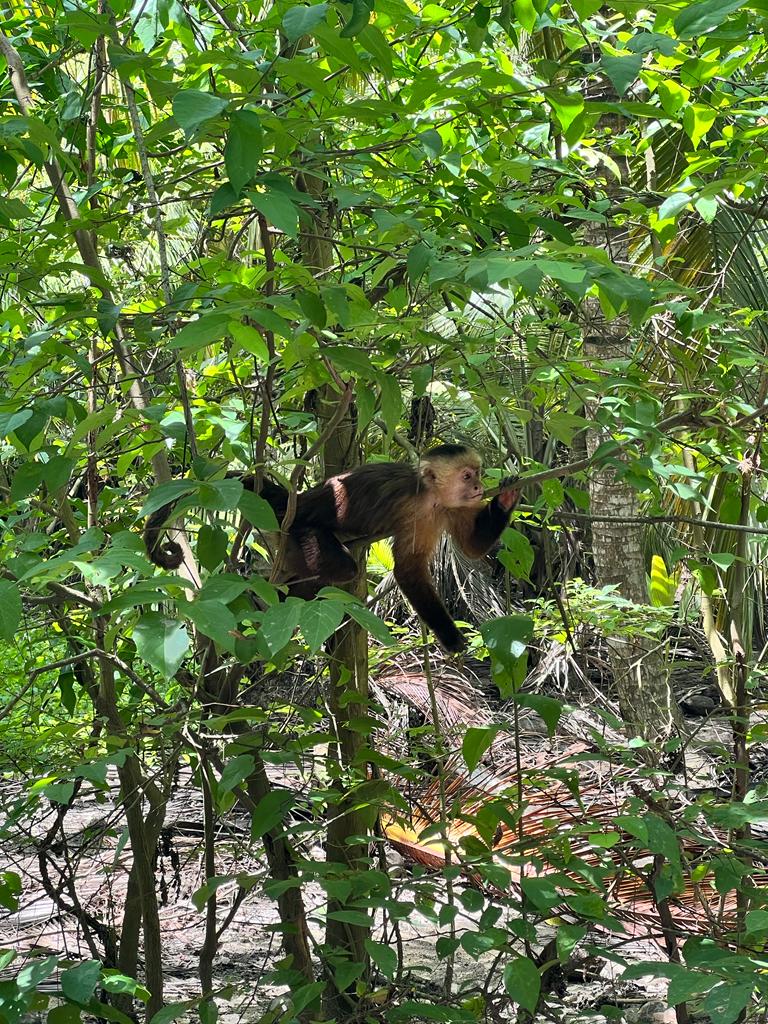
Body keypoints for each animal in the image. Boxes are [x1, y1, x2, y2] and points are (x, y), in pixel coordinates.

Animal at [145, 444, 518, 651]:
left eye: (478, 474)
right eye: (468, 476)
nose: (480, 486)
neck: (434, 497)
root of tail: (297, 501)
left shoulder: (453, 508)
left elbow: (471, 548)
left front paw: (507, 497)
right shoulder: (415, 510)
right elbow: (408, 569)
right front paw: (451, 638)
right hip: (300, 530)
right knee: (340, 566)